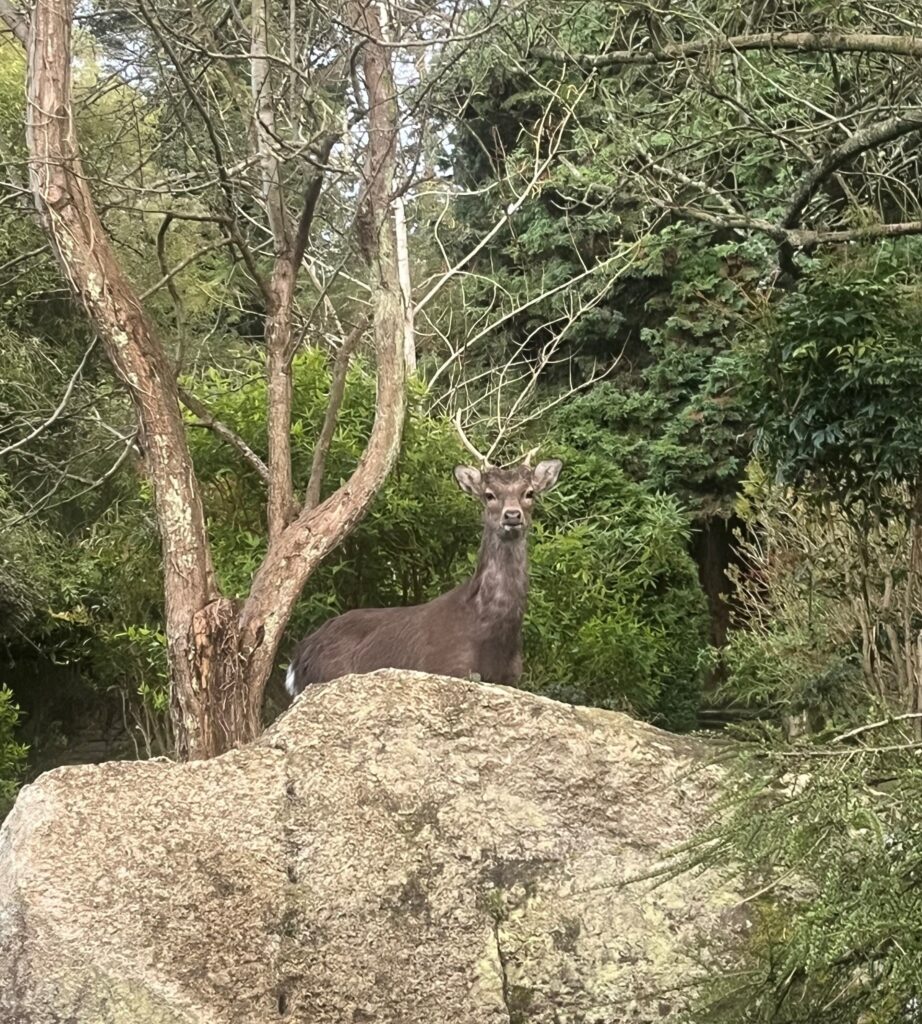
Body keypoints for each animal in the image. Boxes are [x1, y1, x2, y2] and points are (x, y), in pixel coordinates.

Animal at [284, 456, 565, 696]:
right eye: (489, 495)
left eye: (529, 493)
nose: (512, 515)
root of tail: (297, 659)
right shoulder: (445, 668)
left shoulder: (511, 679)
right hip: (328, 674)